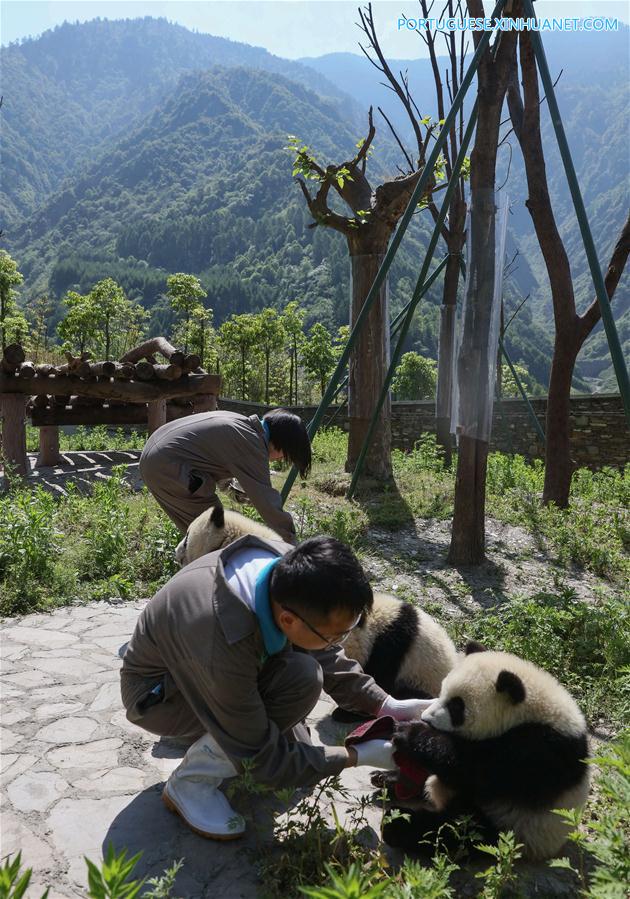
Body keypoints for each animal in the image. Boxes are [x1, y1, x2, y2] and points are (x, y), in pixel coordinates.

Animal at [378, 641, 590, 861]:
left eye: (456, 707)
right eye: (442, 692)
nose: (426, 718)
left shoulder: (538, 753)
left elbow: (472, 768)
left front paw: (410, 732)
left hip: (514, 827)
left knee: (458, 831)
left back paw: (397, 824)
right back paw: (390, 781)